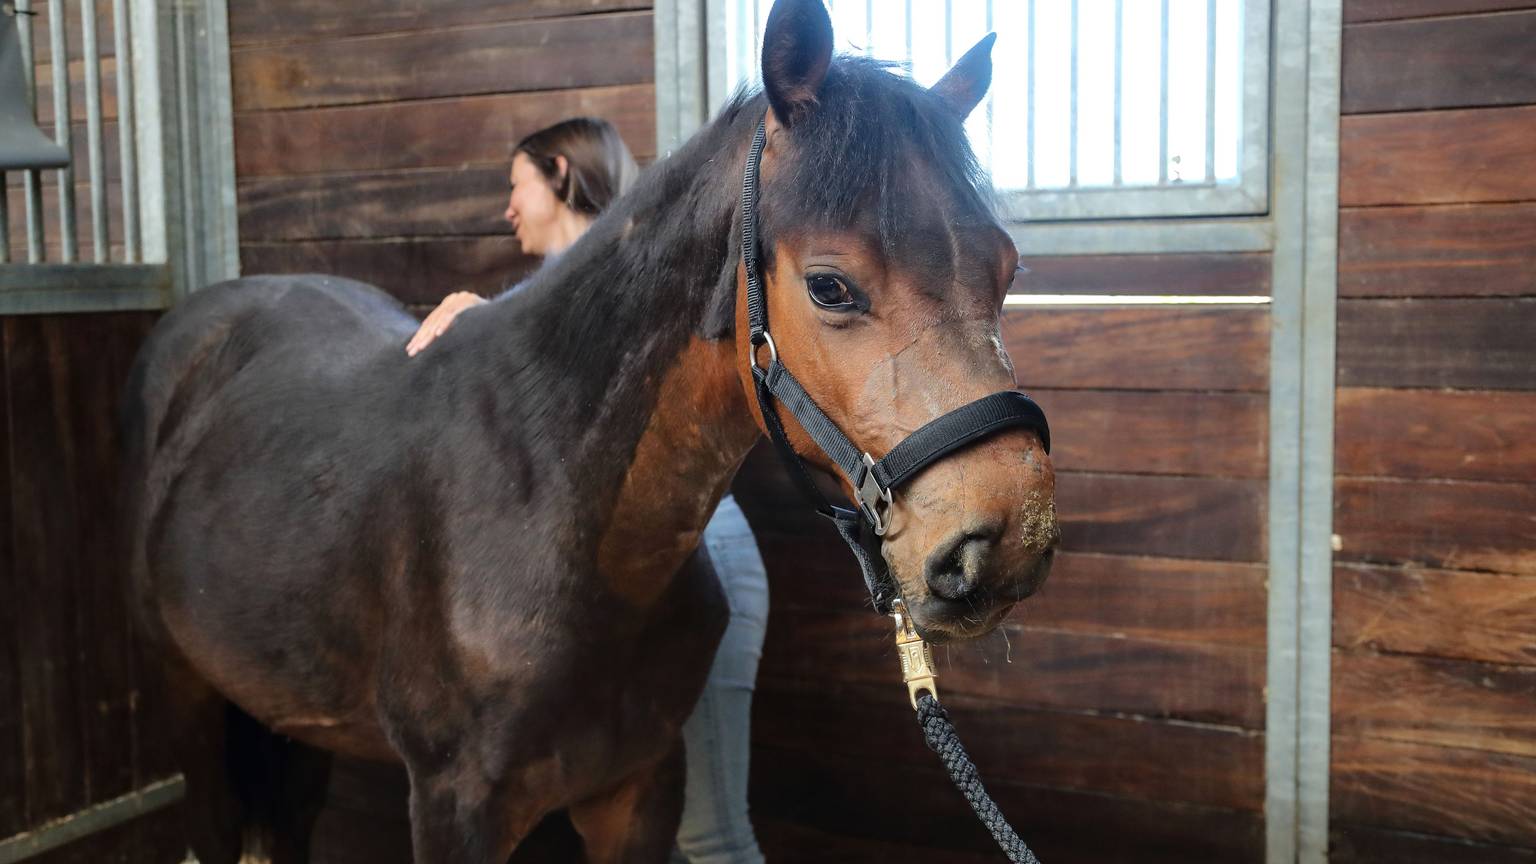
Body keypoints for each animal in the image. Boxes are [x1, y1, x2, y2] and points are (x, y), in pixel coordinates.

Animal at [121, 1, 1058, 860]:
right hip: (189, 702)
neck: (550, 510)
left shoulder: (637, 787)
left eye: (1006, 267)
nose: (1008, 541)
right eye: (830, 286)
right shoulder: (454, 809)